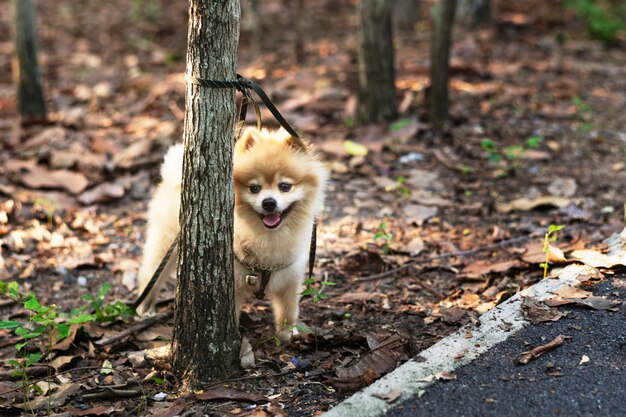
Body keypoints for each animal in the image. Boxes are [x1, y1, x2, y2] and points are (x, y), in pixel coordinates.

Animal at [134, 127, 324, 342]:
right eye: (254, 188)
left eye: (285, 186)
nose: (269, 202)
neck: (268, 235)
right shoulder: (232, 285)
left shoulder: (290, 279)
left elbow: (288, 310)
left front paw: (286, 334)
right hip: (166, 242)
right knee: (151, 273)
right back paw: (144, 307)